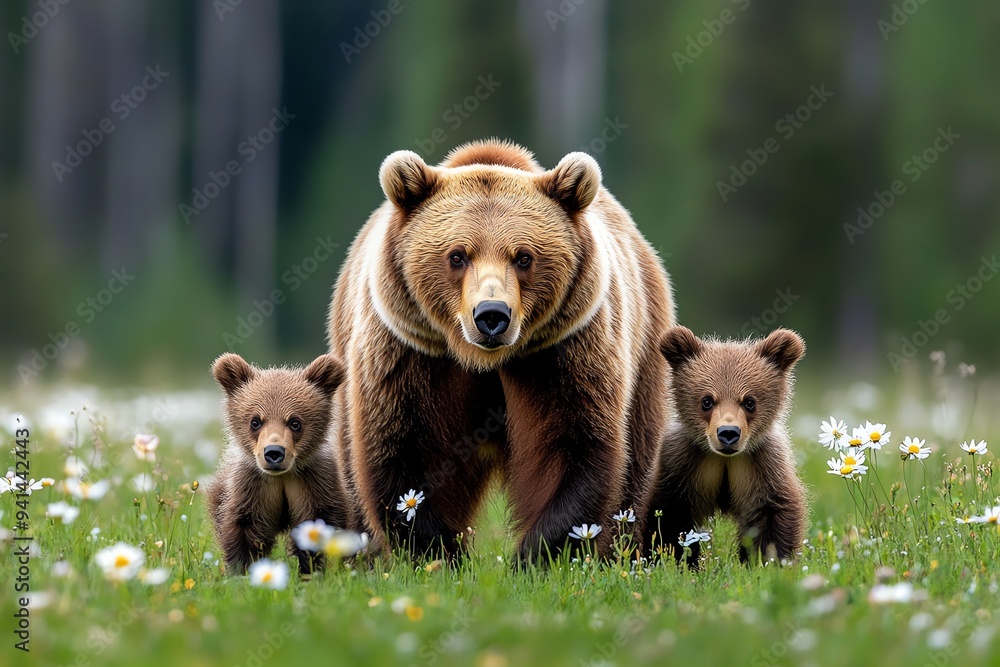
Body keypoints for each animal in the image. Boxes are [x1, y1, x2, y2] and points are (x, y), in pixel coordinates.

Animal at [207, 352, 349, 574]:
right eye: (255, 421)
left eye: (295, 422)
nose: (274, 452)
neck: (282, 477)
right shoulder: (252, 487)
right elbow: (245, 528)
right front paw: (241, 569)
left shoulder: (314, 482)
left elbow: (318, 523)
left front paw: (310, 569)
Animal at [326, 139, 674, 562]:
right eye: (457, 255)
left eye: (524, 256)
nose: (491, 315)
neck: (483, 361)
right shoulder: (410, 351)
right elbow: (403, 448)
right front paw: (440, 553)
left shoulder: (564, 351)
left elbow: (574, 442)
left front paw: (535, 555)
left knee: (636, 461)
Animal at [644, 326, 807, 567]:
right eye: (707, 400)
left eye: (749, 401)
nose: (728, 433)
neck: (724, 460)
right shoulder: (683, 463)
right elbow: (669, 515)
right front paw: (676, 559)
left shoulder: (760, 465)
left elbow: (773, 512)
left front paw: (765, 562)